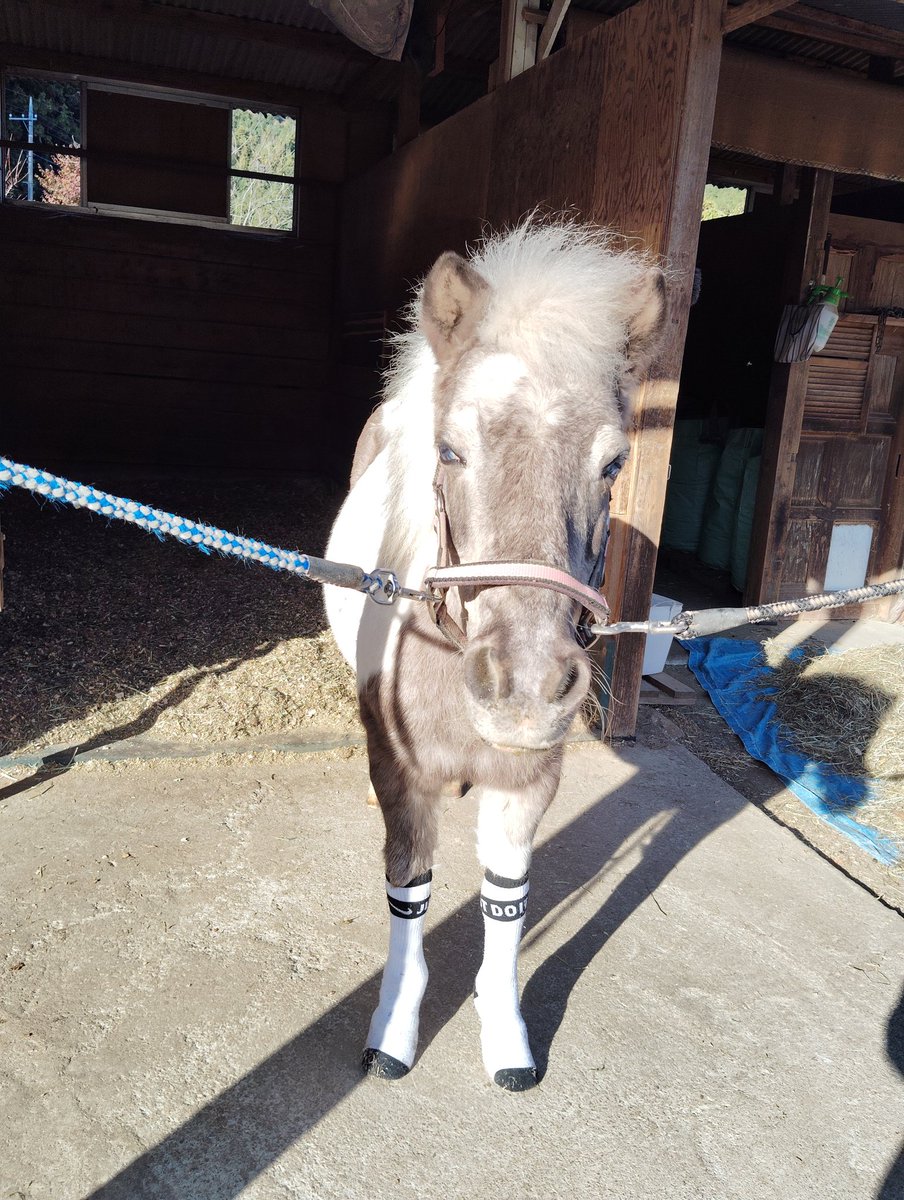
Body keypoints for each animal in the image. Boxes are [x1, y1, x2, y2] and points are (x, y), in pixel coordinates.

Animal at [325, 218, 666, 1090]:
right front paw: (394, 1029)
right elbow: (408, 892)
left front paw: (503, 1032)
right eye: (450, 452)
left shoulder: (528, 785)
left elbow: (504, 904)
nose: (526, 690)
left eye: (614, 463)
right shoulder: (404, 776)